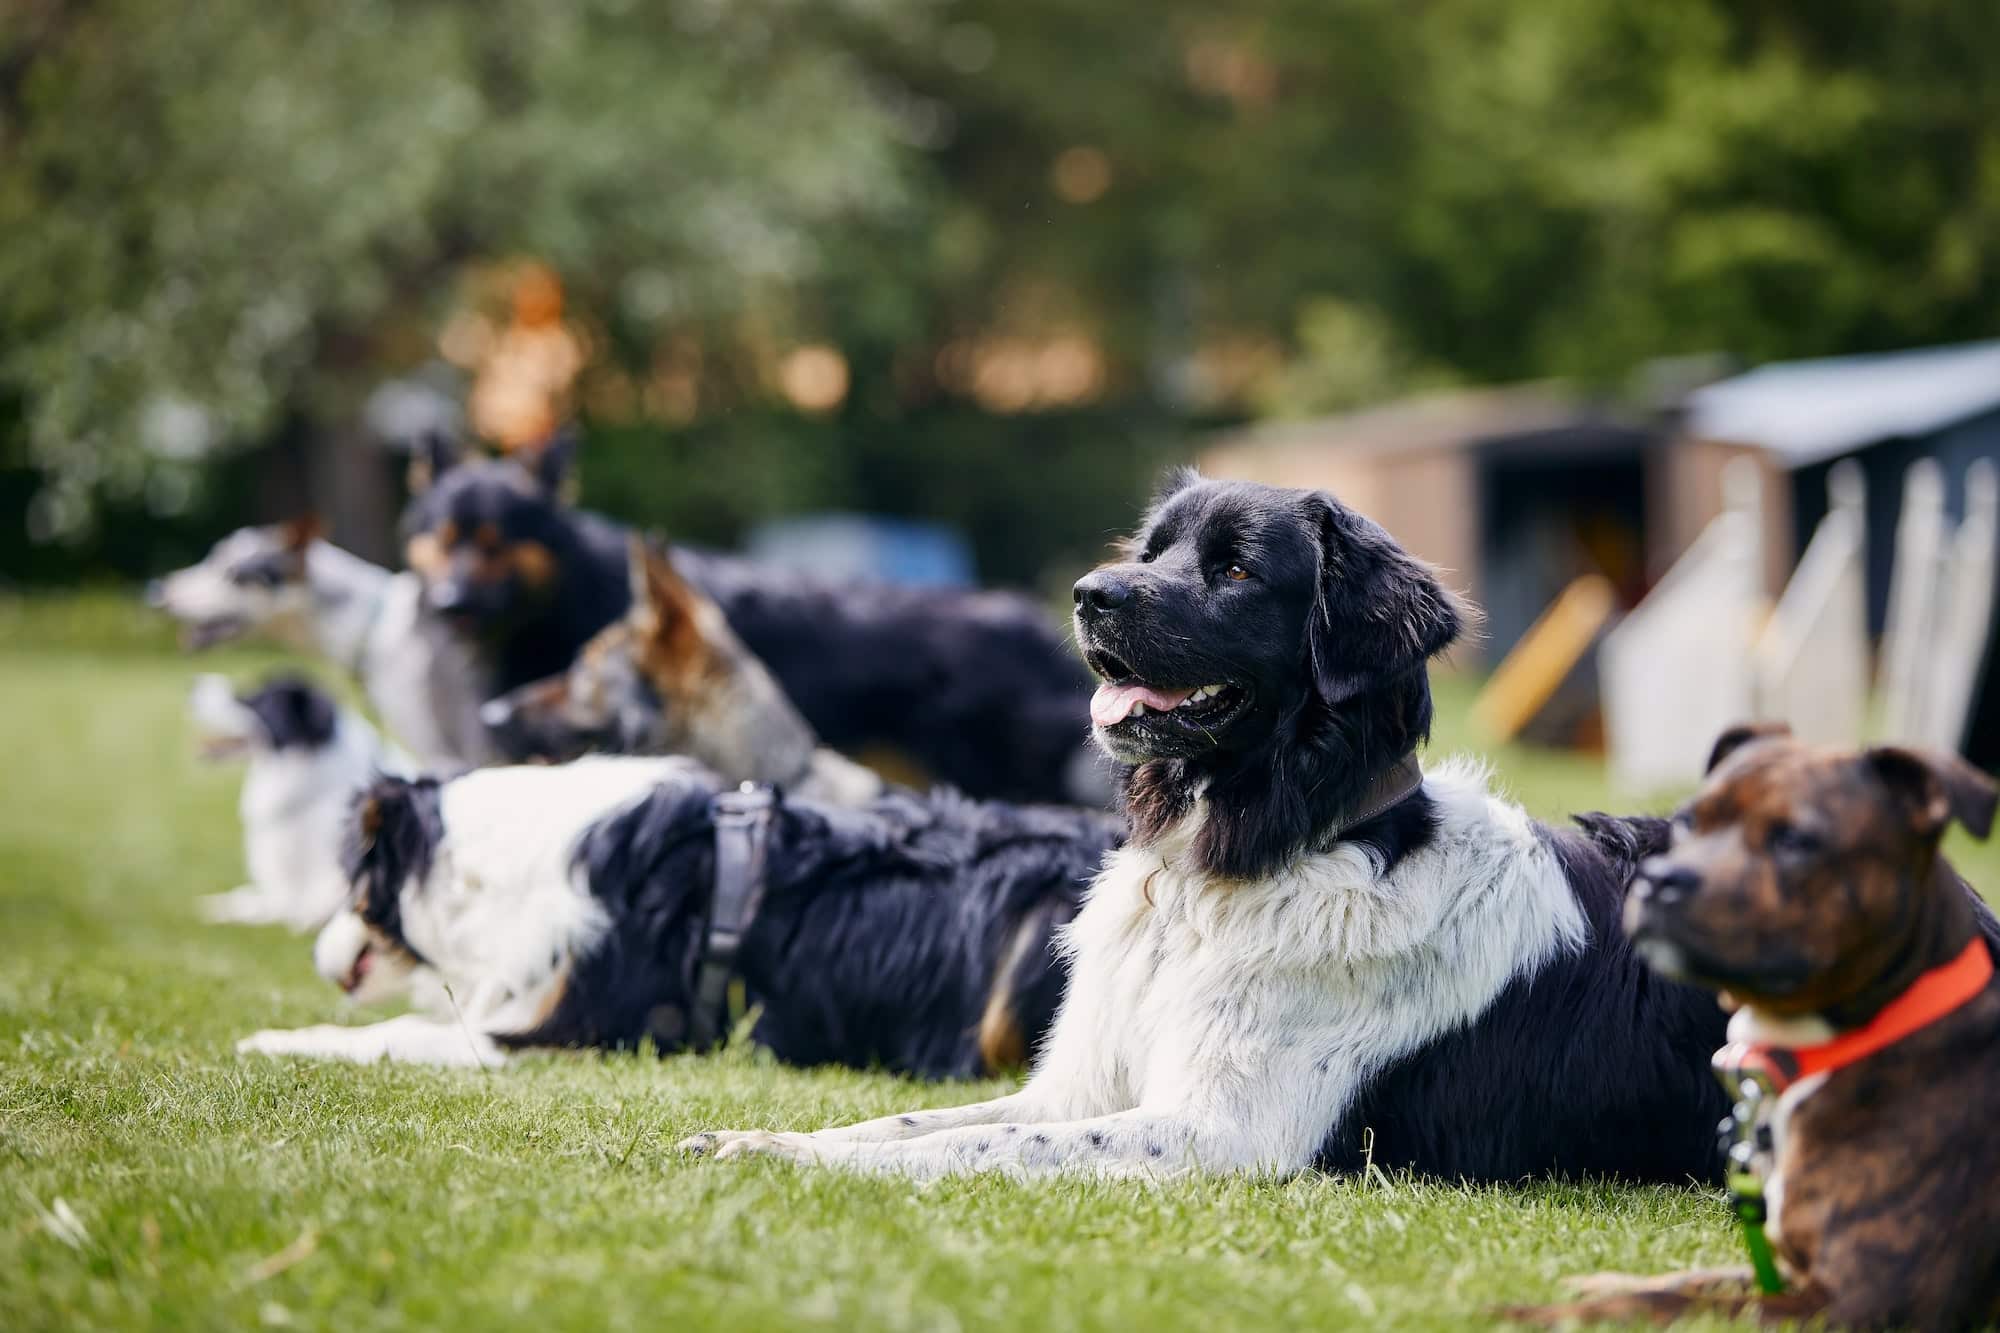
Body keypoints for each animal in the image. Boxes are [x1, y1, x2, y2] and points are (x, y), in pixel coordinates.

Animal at [680, 472, 1728, 1176]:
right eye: (1152, 554)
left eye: (1234, 569)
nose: (1090, 593)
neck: (1222, 870)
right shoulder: (1078, 1085)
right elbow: (918, 1122)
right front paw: (764, 1136)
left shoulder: (1225, 1133)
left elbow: (991, 1142)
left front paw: (800, 1160)